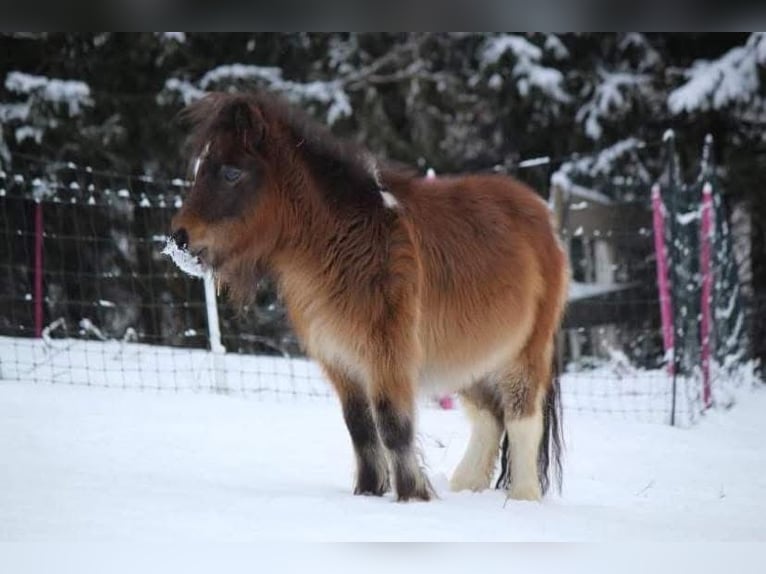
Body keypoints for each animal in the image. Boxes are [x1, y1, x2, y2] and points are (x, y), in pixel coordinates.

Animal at [169, 91, 568, 502]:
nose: (178, 239)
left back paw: (522, 497)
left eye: (231, 173)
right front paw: (368, 493)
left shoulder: (388, 354)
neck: (346, 239)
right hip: (471, 358)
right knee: (489, 418)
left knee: (522, 420)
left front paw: (412, 496)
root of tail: (542, 215)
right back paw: (466, 487)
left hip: (523, 355)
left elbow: (393, 426)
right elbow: (360, 429)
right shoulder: (340, 362)